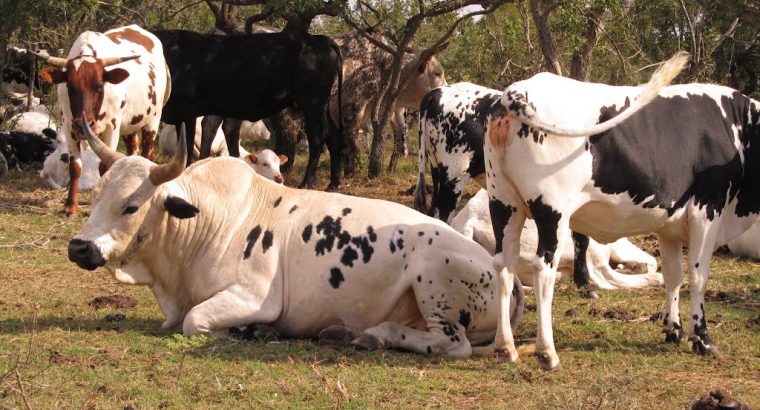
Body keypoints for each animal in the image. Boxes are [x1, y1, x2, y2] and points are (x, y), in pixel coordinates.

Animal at [34, 24, 170, 216]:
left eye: (99, 85)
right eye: (70, 86)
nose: (83, 124)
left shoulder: (111, 128)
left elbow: (105, 167)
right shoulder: (69, 126)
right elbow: (75, 167)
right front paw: (70, 206)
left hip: (153, 120)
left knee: (147, 151)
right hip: (128, 126)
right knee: (133, 150)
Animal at [67, 121, 525, 357]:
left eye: (130, 206)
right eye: (95, 195)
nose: (79, 247)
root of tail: (503, 273)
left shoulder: (253, 297)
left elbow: (194, 321)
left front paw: (249, 332)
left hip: (431, 278)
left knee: (453, 344)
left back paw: (376, 335)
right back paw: (346, 332)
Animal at [151, 29, 343, 190]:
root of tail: (318, 39)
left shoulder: (188, 112)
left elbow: (188, 148)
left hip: (313, 103)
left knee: (318, 138)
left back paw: (306, 184)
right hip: (323, 105)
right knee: (333, 135)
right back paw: (333, 183)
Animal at [479, 52, 760, 370]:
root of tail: (518, 90)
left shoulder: (669, 223)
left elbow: (674, 276)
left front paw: (673, 331)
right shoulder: (707, 210)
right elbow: (699, 277)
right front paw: (702, 339)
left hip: (503, 204)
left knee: (504, 266)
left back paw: (505, 347)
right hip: (552, 212)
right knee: (544, 271)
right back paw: (547, 352)